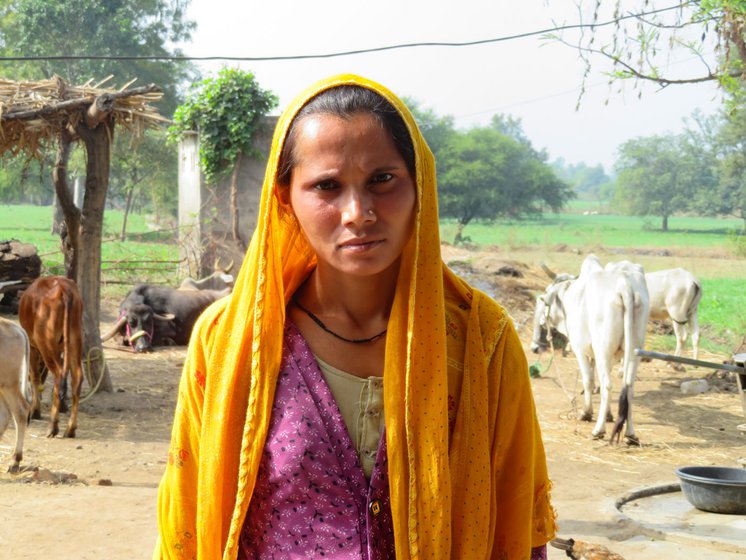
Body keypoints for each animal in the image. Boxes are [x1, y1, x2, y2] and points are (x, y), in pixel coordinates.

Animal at [19, 276, 83, 438]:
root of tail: (63, 288)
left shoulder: (33, 348)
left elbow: (35, 377)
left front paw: (35, 411)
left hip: (46, 345)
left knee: (59, 375)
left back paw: (53, 426)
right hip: (75, 340)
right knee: (76, 378)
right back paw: (70, 428)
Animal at [528, 256, 648, 444]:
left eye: (544, 302)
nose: (534, 346)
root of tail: (624, 285)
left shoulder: (580, 349)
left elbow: (589, 380)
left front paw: (586, 412)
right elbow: (595, 377)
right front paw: (608, 414)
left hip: (603, 349)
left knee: (607, 385)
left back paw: (598, 430)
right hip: (635, 351)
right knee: (629, 387)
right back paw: (631, 434)